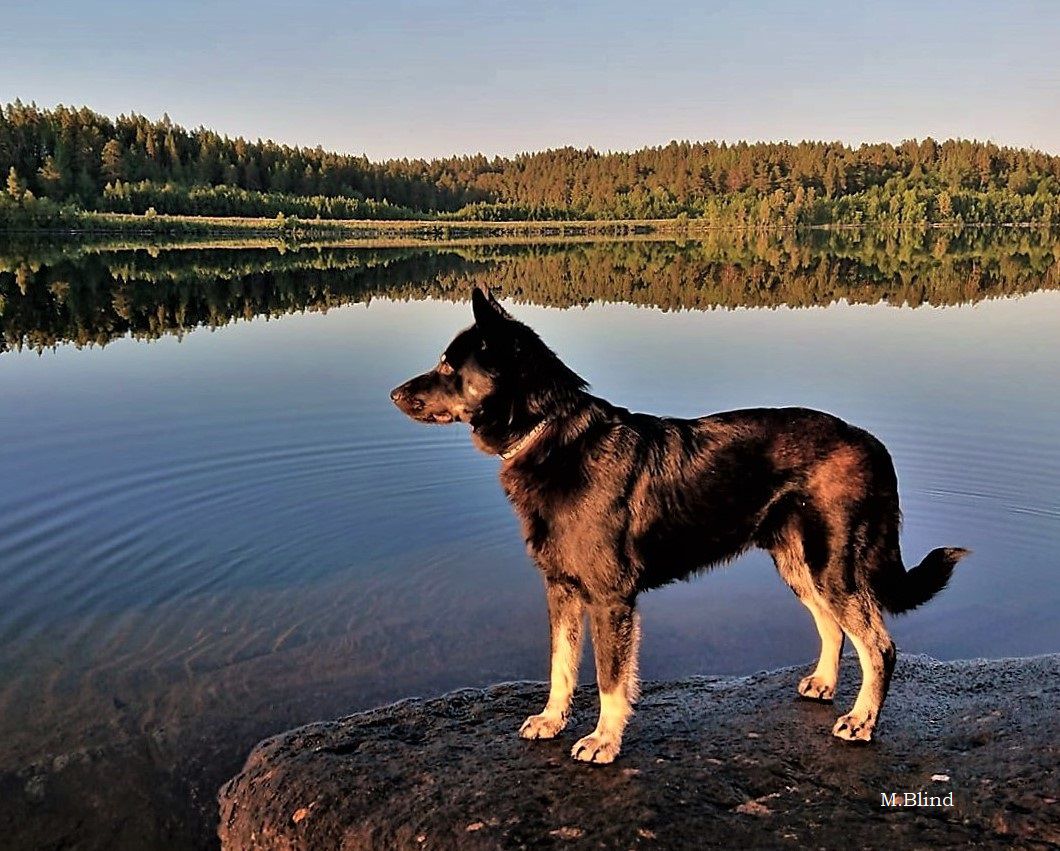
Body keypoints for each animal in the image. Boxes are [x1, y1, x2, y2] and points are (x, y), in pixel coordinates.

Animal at [392, 288, 970, 767]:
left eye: (448, 365)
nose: (395, 394)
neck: (554, 436)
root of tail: (872, 443)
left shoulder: (611, 598)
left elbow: (609, 679)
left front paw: (604, 740)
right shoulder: (561, 590)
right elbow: (561, 666)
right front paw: (553, 721)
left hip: (833, 567)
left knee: (879, 646)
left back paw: (862, 721)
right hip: (800, 565)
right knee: (834, 628)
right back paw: (826, 685)